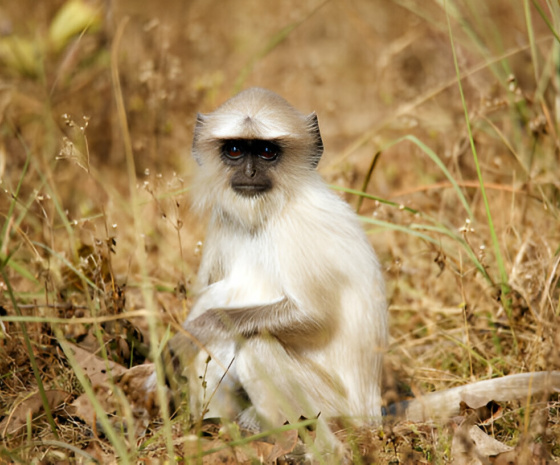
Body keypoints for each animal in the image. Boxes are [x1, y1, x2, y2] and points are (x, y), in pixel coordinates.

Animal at [156, 88, 384, 442]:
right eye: (235, 150)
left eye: (266, 152)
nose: (250, 173)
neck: (275, 206)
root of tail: (372, 413)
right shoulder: (223, 219)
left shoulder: (298, 226)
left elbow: (314, 317)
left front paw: (189, 334)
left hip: (335, 408)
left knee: (257, 343)